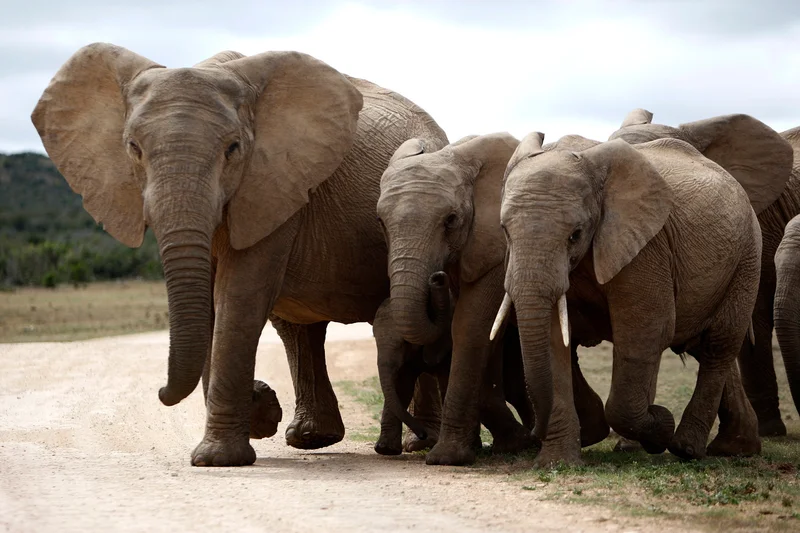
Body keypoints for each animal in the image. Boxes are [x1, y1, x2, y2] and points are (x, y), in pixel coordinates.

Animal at [31, 43, 449, 466]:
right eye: (134, 149)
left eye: (232, 149)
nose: (161, 392)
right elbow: (212, 305)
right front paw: (254, 419)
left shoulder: (276, 181)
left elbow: (238, 295)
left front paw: (218, 457)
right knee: (298, 327)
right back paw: (312, 438)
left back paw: (418, 443)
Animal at [376, 132, 609, 466]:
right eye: (380, 222)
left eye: (450, 220)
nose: (436, 278)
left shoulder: (497, 254)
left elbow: (469, 325)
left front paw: (447, 458)